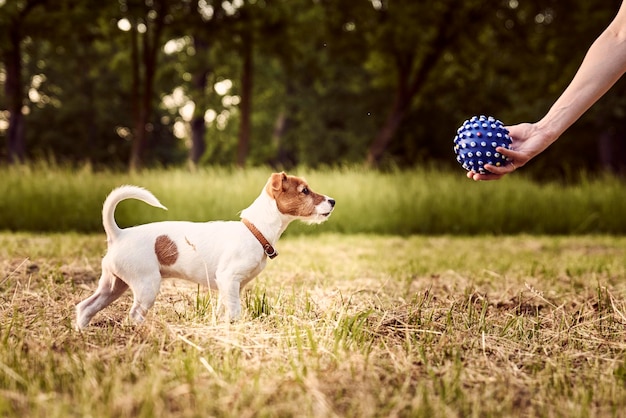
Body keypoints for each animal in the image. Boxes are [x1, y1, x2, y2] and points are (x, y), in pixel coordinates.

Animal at [75, 171, 334, 328]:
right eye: (305, 191)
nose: (332, 201)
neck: (255, 230)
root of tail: (118, 234)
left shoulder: (229, 286)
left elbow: (224, 310)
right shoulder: (228, 278)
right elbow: (235, 311)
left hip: (112, 285)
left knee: (85, 307)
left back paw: (82, 332)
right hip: (146, 285)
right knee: (134, 314)